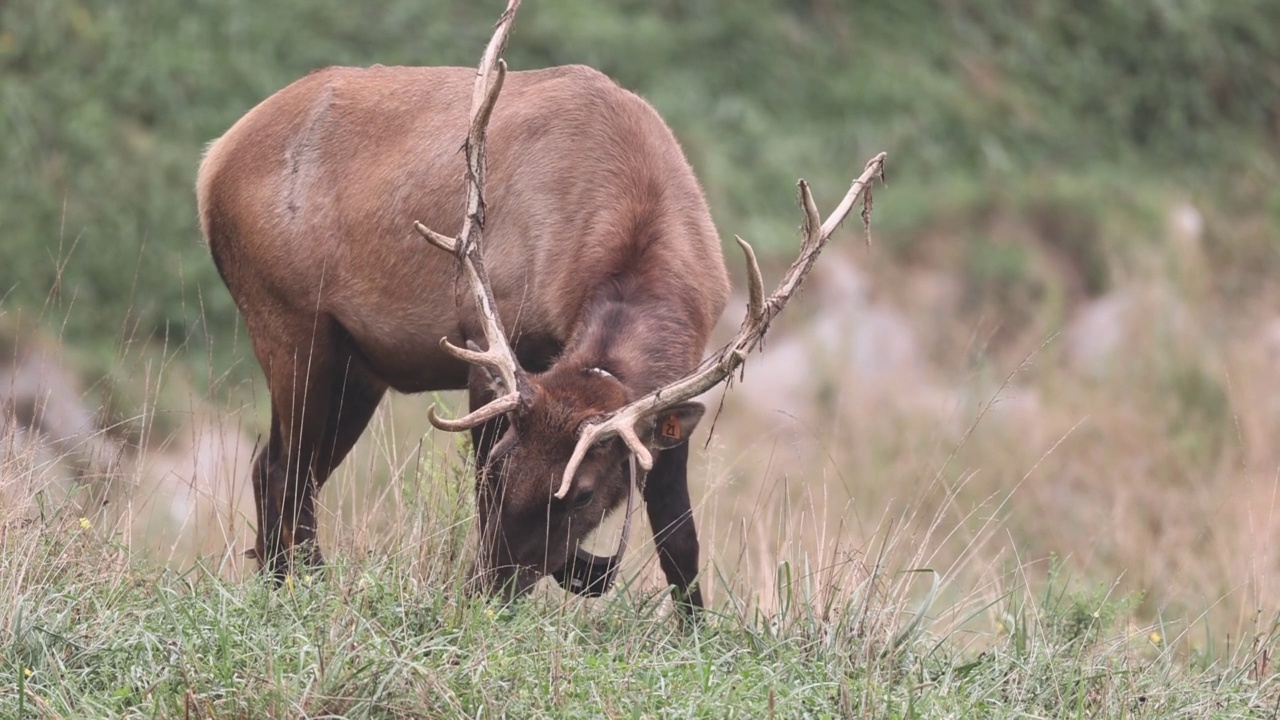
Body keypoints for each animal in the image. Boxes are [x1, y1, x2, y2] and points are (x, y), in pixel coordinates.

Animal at [194, 0, 885, 614]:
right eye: (505, 472)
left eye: (582, 495)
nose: (488, 591)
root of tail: (211, 164)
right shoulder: (488, 348)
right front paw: (586, 574)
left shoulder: (669, 395)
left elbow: (680, 540)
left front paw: (692, 630)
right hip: (290, 319)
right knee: (284, 469)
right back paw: (301, 587)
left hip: (360, 364)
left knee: (281, 467)